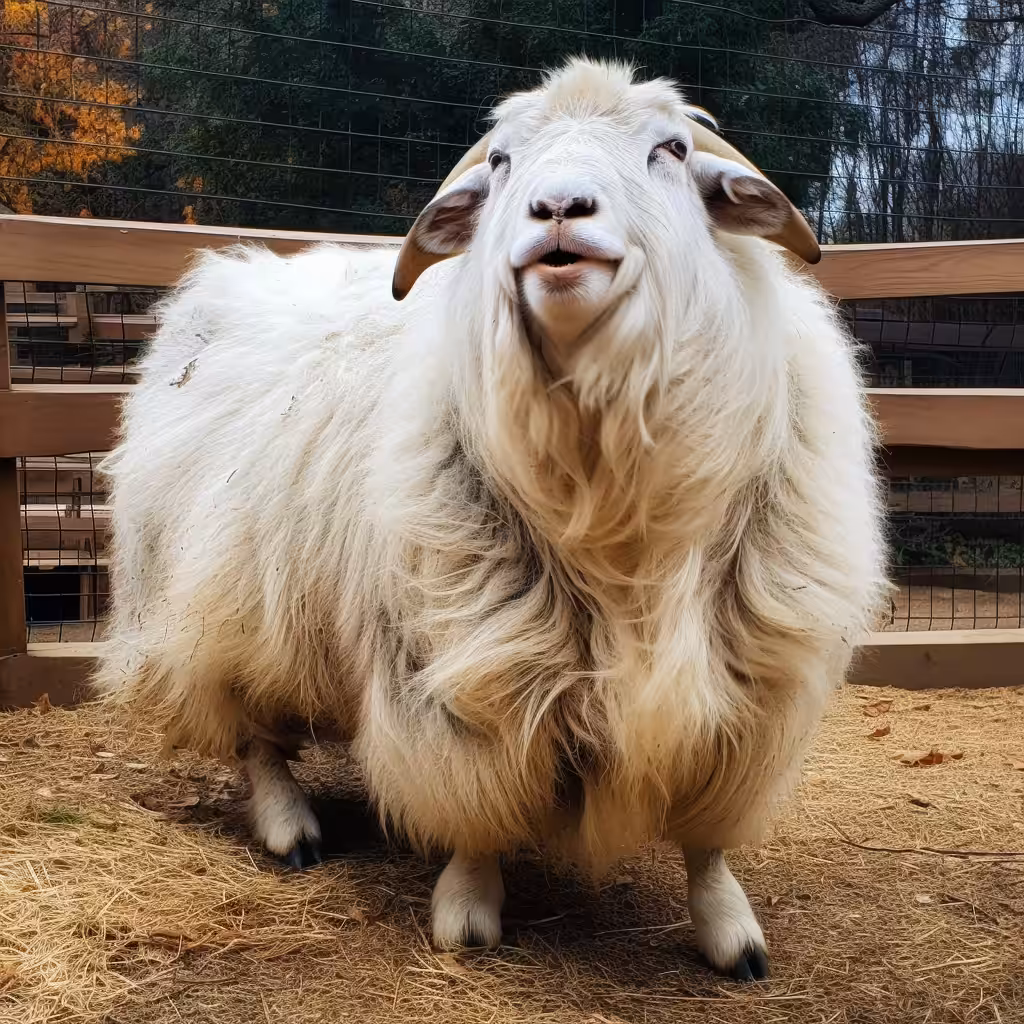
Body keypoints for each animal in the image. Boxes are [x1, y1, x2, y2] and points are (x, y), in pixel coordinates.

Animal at [95, 59, 885, 980]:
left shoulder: (747, 700)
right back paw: (292, 829)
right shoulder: (459, 669)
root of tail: (231, 271)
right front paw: (467, 911)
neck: (612, 513)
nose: (559, 208)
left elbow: (708, 841)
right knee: (254, 736)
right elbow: (473, 808)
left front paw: (730, 930)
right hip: (218, 609)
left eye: (672, 149)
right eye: (502, 161)